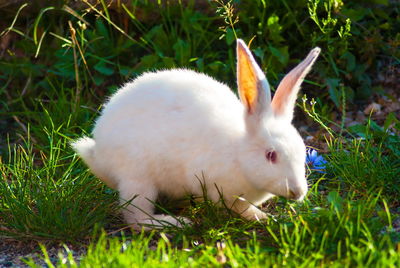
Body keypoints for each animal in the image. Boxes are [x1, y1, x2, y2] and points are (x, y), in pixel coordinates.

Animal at [72, 39, 320, 230]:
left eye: (301, 153)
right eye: (271, 155)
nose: (298, 192)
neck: (238, 153)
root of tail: (98, 153)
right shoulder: (220, 189)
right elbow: (238, 206)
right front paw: (262, 217)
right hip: (137, 178)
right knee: (135, 216)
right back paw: (173, 223)